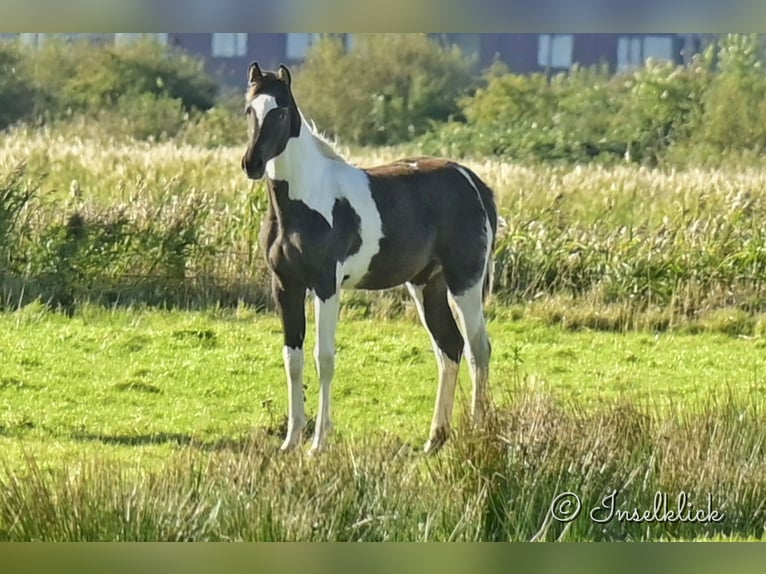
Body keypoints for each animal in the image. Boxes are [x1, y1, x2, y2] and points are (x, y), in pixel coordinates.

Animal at [243, 63, 500, 456]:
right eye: (249, 110)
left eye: (281, 111)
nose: (252, 164)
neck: (306, 200)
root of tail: (472, 182)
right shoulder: (285, 287)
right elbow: (293, 359)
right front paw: (290, 440)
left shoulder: (326, 287)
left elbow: (324, 358)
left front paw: (318, 443)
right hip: (427, 284)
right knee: (450, 348)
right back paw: (435, 439)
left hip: (465, 282)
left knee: (477, 349)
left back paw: (476, 432)